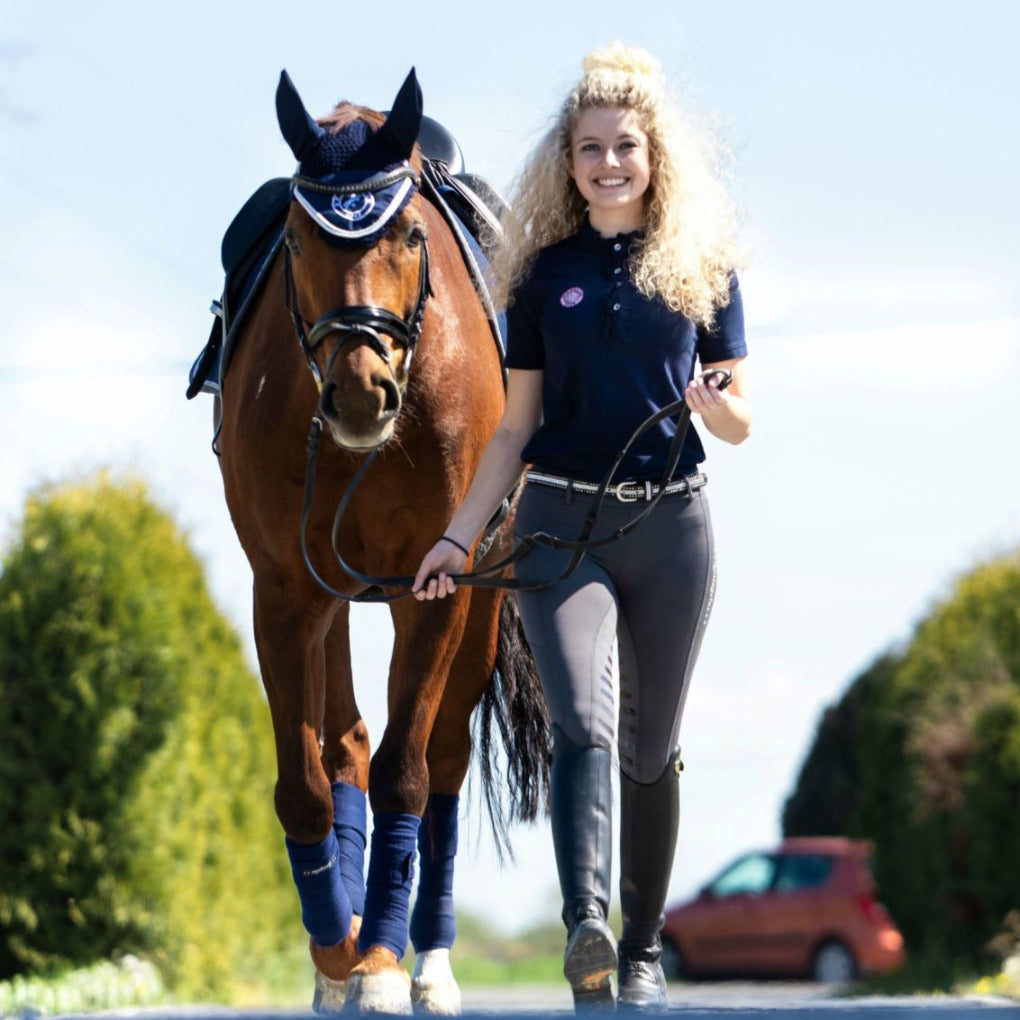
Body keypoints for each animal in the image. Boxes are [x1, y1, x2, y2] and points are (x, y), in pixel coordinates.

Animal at [214, 69, 547, 1014]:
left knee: (442, 760)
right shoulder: (285, 588)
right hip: (329, 597)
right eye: (295, 237)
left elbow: (409, 767)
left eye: (407, 233)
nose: (362, 392)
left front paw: (385, 967)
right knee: (347, 746)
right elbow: (308, 784)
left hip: (476, 604)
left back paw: (426, 960)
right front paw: (339, 955)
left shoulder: (434, 589)